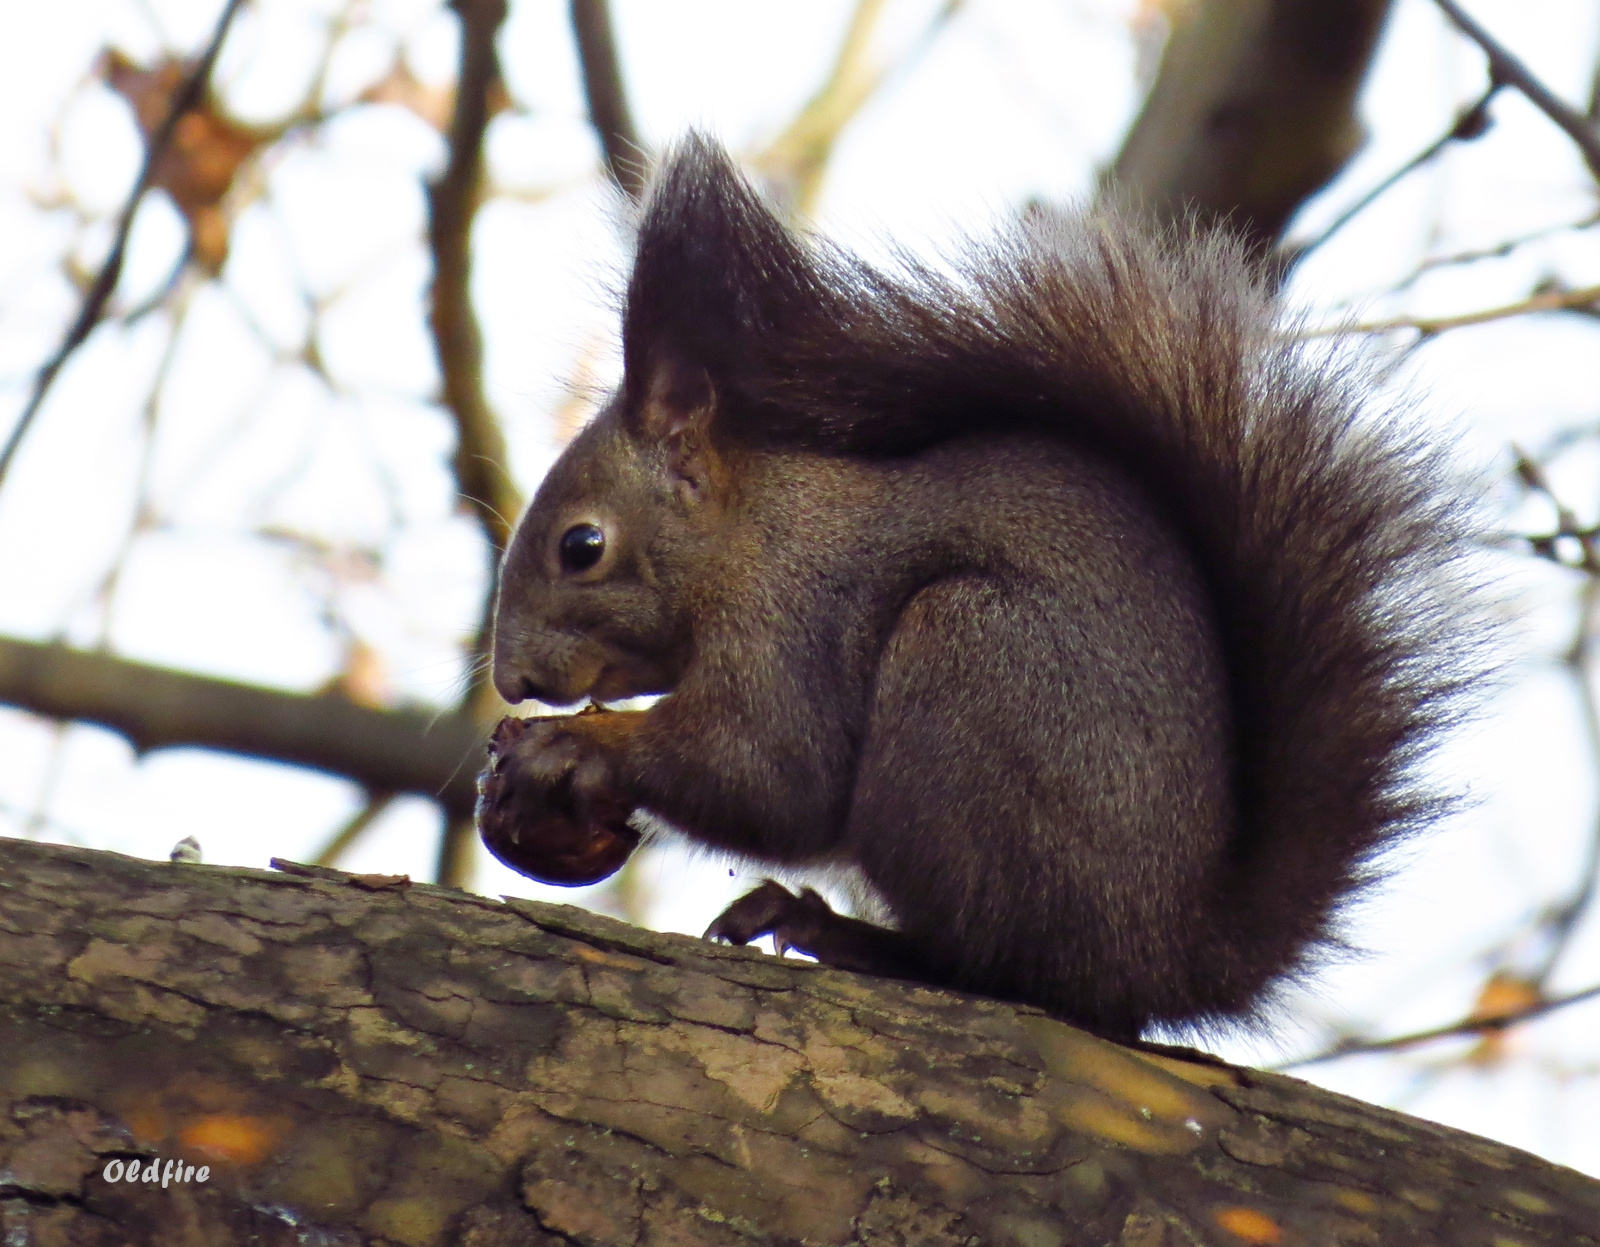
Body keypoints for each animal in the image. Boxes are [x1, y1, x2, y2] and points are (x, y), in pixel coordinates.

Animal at [476, 134, 1484, 1043]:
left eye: (582, 546)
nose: (514, 680)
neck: (746, 539)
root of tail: (1166, 956)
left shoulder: (791, 624)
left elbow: (767, 772)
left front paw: (577, 745)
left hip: (968, 673)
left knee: (996, 965)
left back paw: (835, 930)